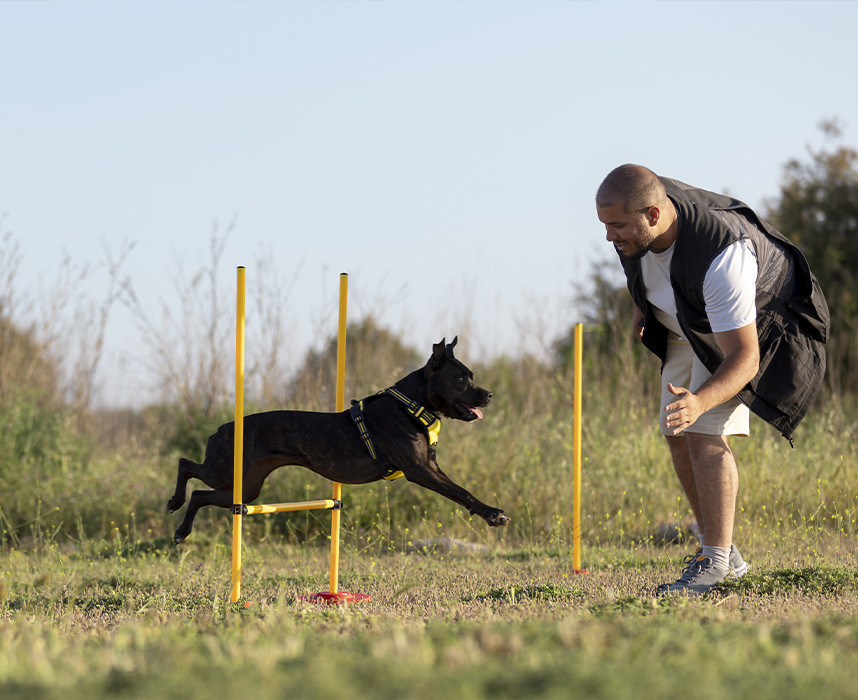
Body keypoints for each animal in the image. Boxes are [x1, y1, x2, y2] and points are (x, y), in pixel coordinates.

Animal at [169, 336, 508, 544]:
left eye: (471, 376)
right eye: (461, 378)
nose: (490, 394)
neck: (411, 404)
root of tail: (221, 428)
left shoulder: (430, 466)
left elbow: (461, 490)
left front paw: (491, 512)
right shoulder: (419, 469)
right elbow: (461, 491)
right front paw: (493, 514)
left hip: (246, 488)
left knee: (200, 494)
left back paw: (182, 529)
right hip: (226, 470)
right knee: (186, 465)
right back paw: (175, 505)